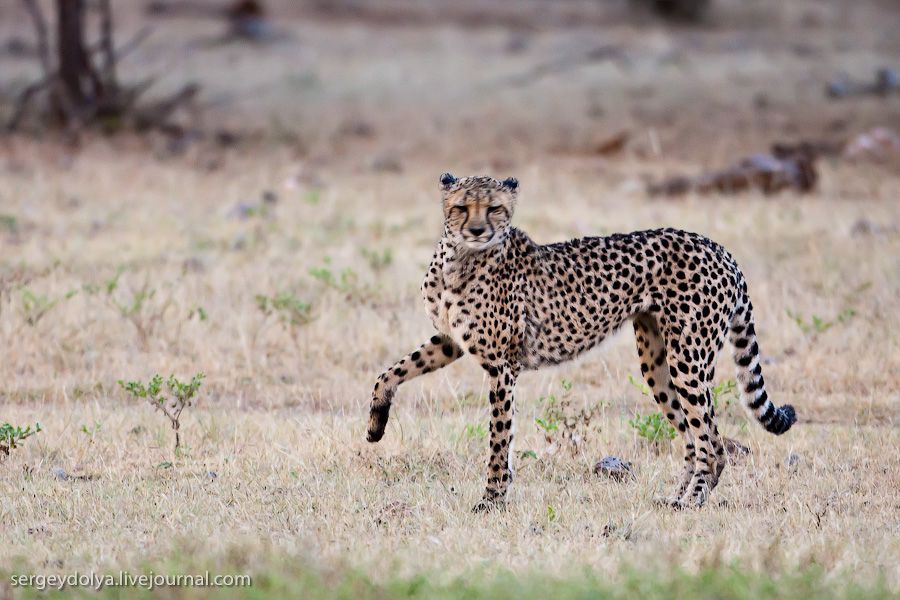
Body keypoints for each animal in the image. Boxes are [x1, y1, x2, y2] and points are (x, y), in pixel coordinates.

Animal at [366, 171, 796, 508]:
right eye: (461, 207)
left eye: (494, 208)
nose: (477, 230)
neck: (459, 258)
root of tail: (718, 248)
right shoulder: (450, 341)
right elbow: (391, 371)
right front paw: (375, 424)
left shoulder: (502, 366)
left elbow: (499, 438)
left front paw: (492, 499)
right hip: (657, 363)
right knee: (692, 437)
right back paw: (676, 497)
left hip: (688, 360)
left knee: (714, 443)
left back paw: (692, 502)